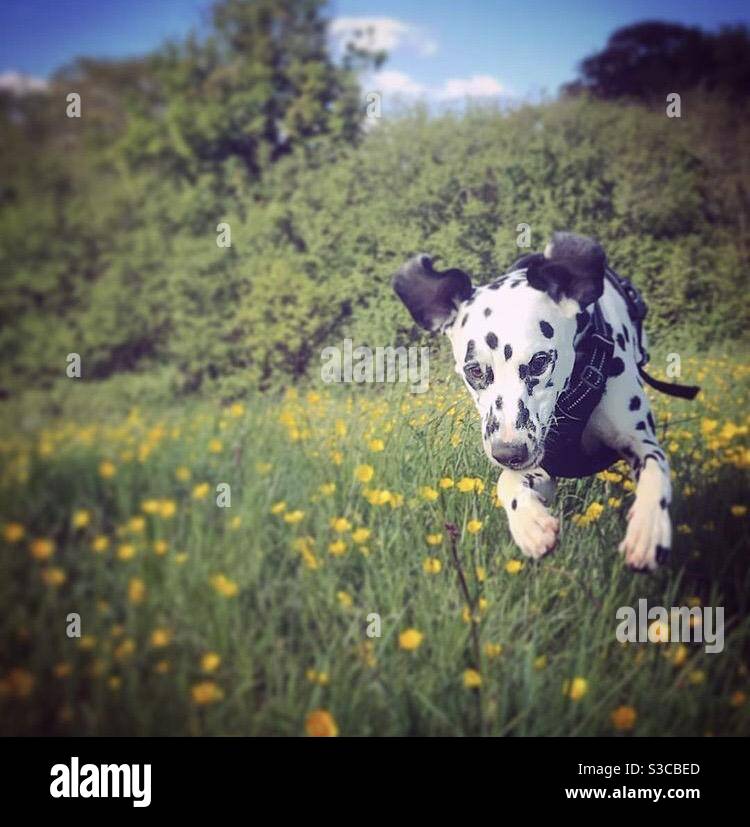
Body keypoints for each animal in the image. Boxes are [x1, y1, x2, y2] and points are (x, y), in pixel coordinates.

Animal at [394, 230, 688, 572]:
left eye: (539, 362)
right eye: (475, 370)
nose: (509, 452)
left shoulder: (640, 442)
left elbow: (656, 468)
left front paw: (647, 527)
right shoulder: (542, 468)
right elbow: (507, 481)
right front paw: (529, 523)